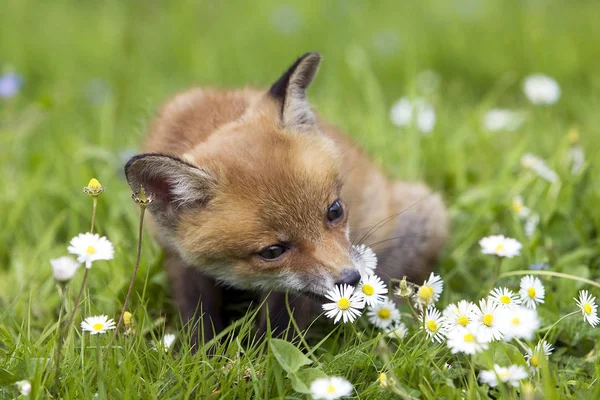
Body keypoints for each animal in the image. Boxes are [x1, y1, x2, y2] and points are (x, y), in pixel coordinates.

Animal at [124, 52, 448, 346]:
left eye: (335, 210)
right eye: (272, 251)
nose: (350, 279)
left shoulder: (293, 293)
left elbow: (281, 330)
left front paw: (261, 362)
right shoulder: (178, 258)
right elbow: (199, 319)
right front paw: (203, 357)